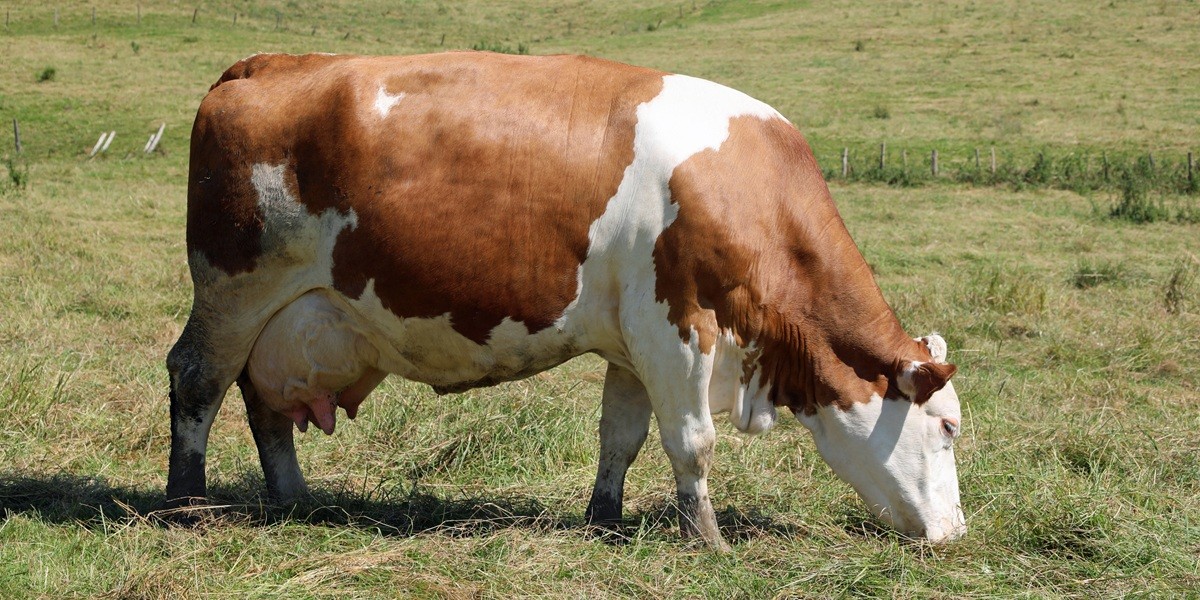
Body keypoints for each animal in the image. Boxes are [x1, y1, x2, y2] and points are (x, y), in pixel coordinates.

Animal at [166, 51, 965, 550]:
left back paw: (293, 497)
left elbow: (622, 436)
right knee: (197, 381)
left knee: (264, 405)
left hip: (282, 317)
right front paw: (705, 539)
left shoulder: (635, 340)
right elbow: (692, 441)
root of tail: (266, 64)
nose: (956, 533)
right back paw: (186, 502)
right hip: (233, 292)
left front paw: (605, 519)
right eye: (949, 428)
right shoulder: (679, 328)